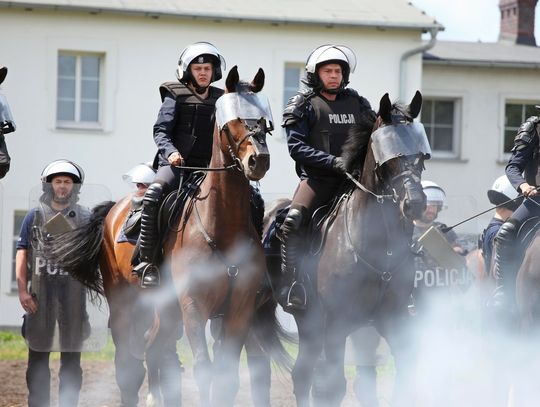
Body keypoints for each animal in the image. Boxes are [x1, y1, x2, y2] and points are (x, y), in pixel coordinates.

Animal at [266, 92, 430, 407]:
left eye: (420, 154)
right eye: (390, 156)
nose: (415, 203)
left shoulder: (393, 320)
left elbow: (405, 376)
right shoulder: (336, 324)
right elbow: (332, 387)